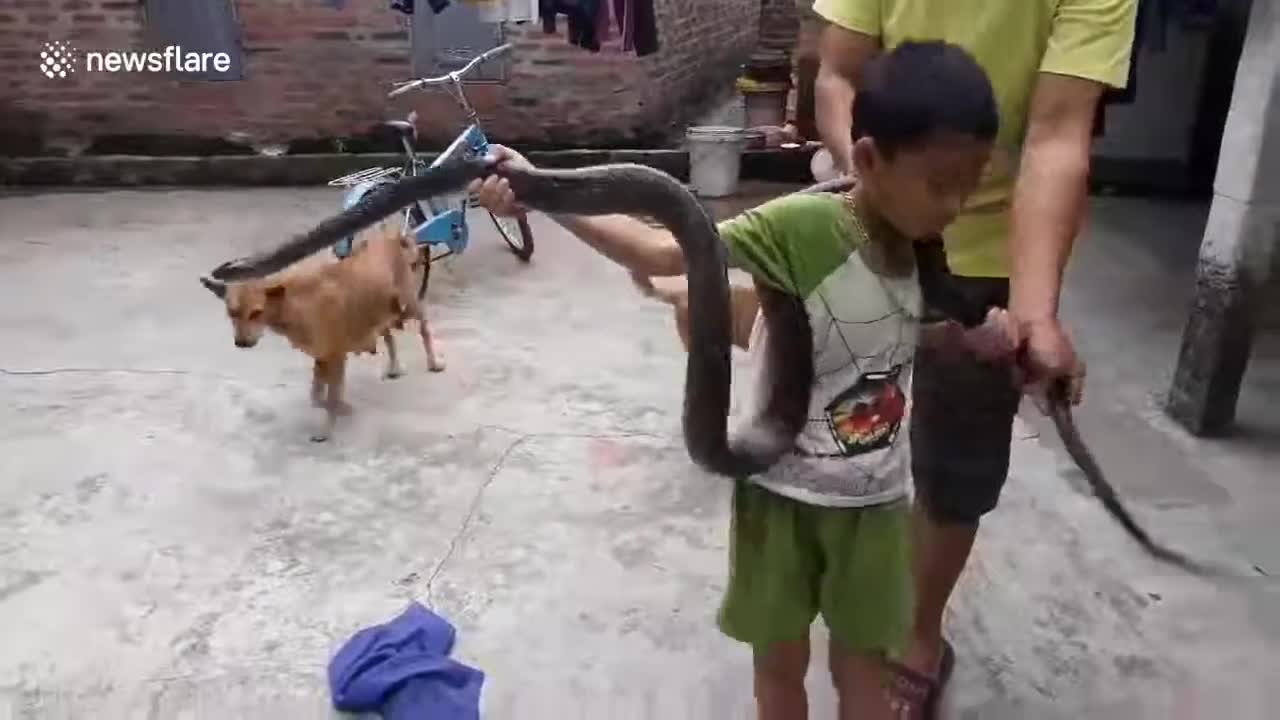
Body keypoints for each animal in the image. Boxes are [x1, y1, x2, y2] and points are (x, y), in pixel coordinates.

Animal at [197, 221, 442, 440]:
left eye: (256, 312)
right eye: (231, 312)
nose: (242, 343)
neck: (292, 305)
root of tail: (390, 235)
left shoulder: (335, 356)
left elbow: (329, 398)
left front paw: (327, 428)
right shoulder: (322, 356)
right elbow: (316, 398)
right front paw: (342, 408)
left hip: (409, 306)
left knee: (424, 328)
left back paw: (434, 363)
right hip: (377, 312)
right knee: (389, 336)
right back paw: (394, 367)